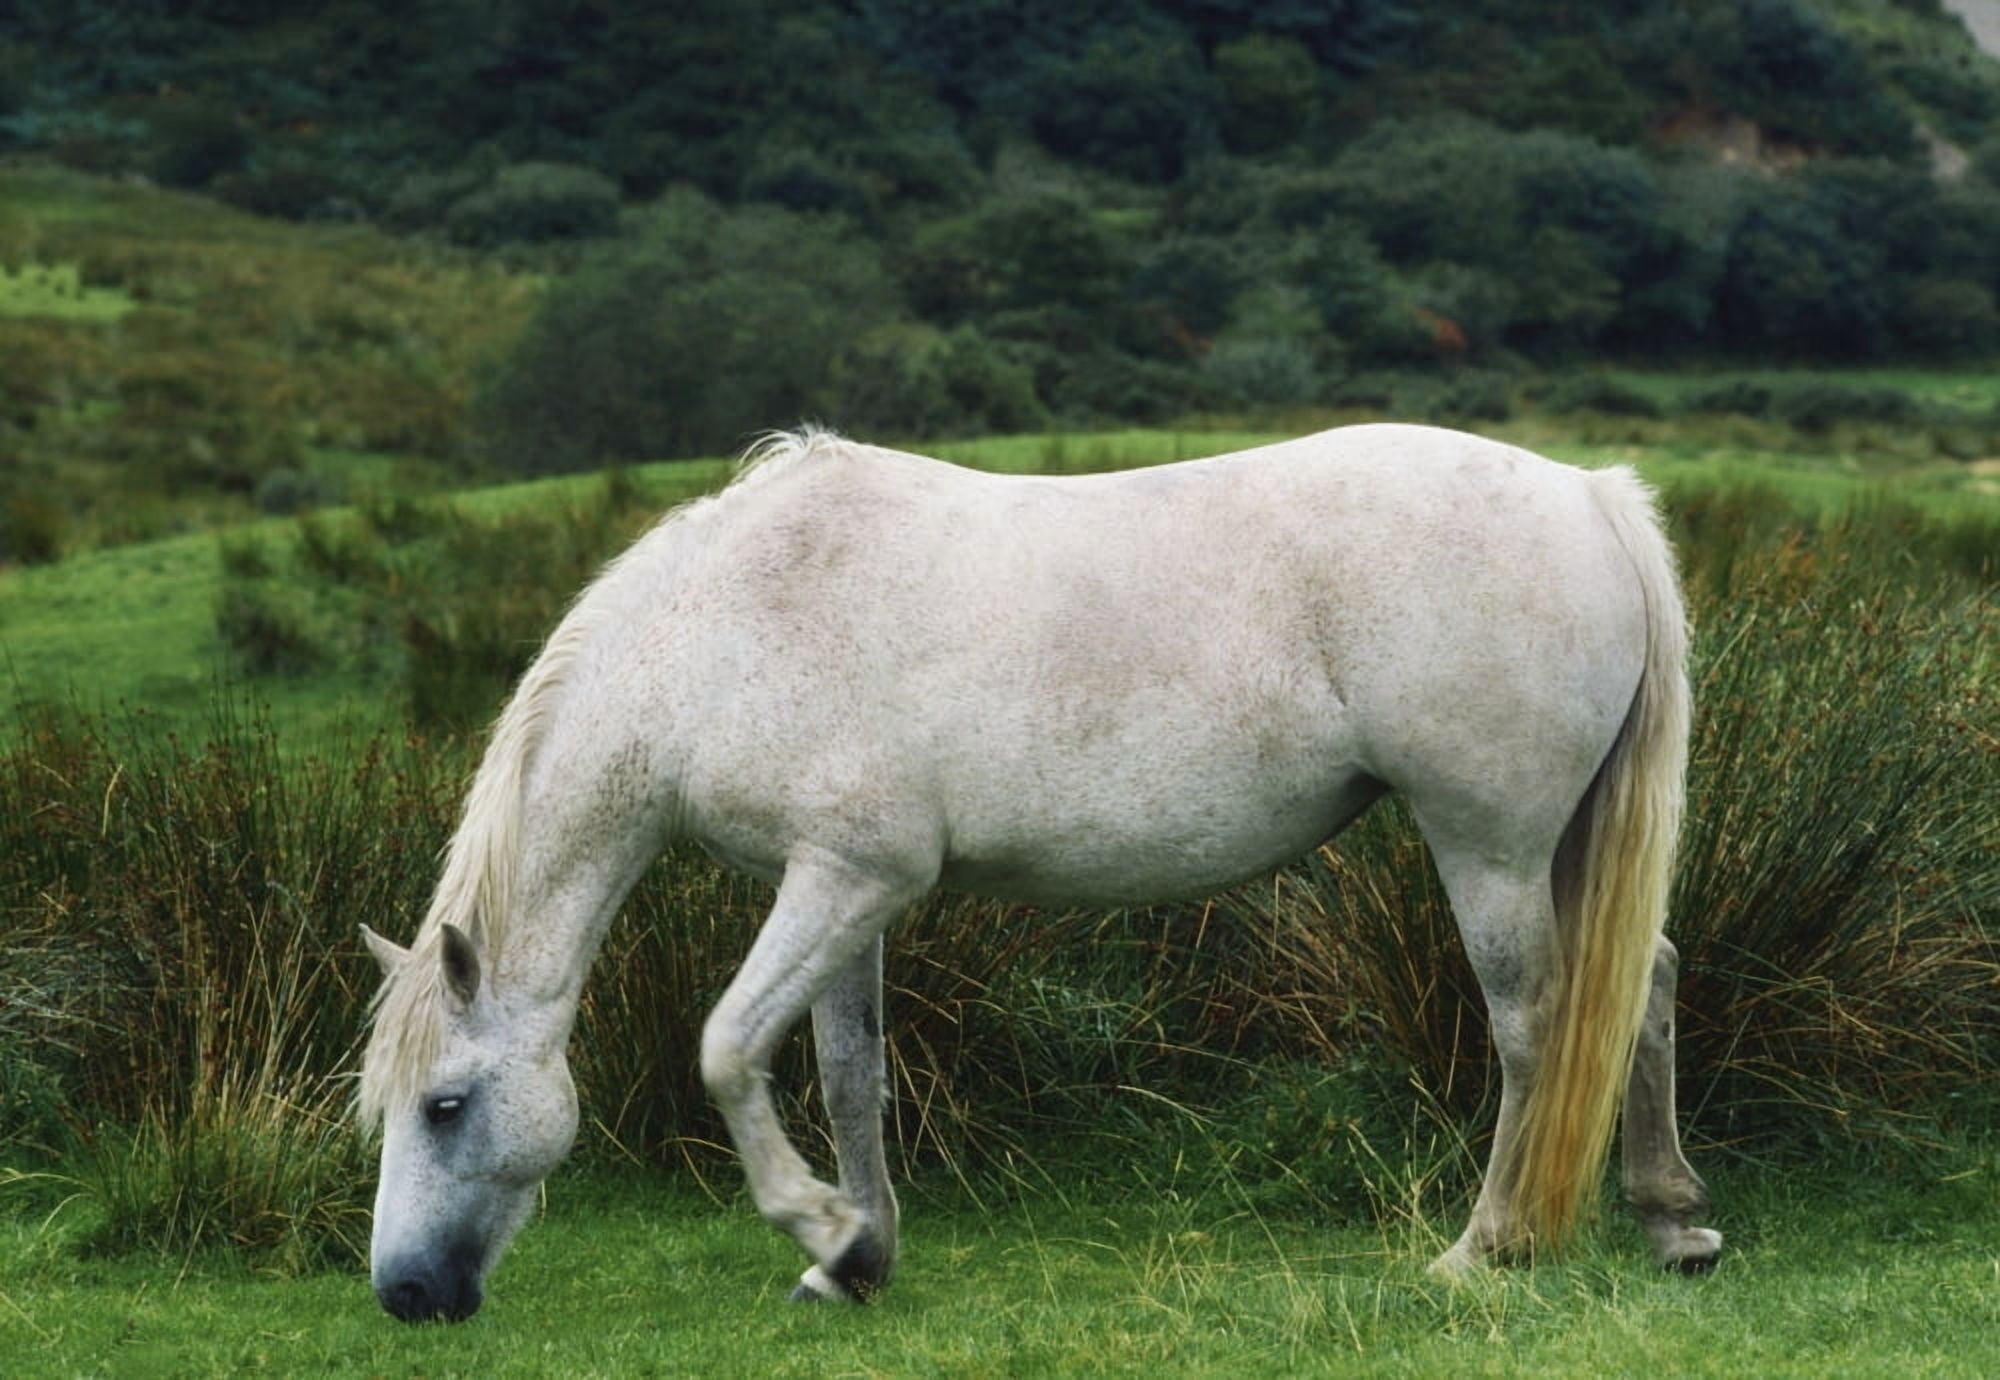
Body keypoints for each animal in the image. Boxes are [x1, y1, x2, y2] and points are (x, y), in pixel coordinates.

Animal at [356, 424, 1722, 1323]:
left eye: (445, 1106)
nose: (406, 1292)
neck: (725, 631)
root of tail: (1588, 496)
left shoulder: (842, 880)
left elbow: (728, 1051)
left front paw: (818, 1223)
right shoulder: (848, 891)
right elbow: (851, 1079)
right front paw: (856, 1259)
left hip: (1489, 847)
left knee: (1534, 1025)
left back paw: (1486, 1249)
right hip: (1562, 849)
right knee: (1645, 983)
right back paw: (1670, 1221)